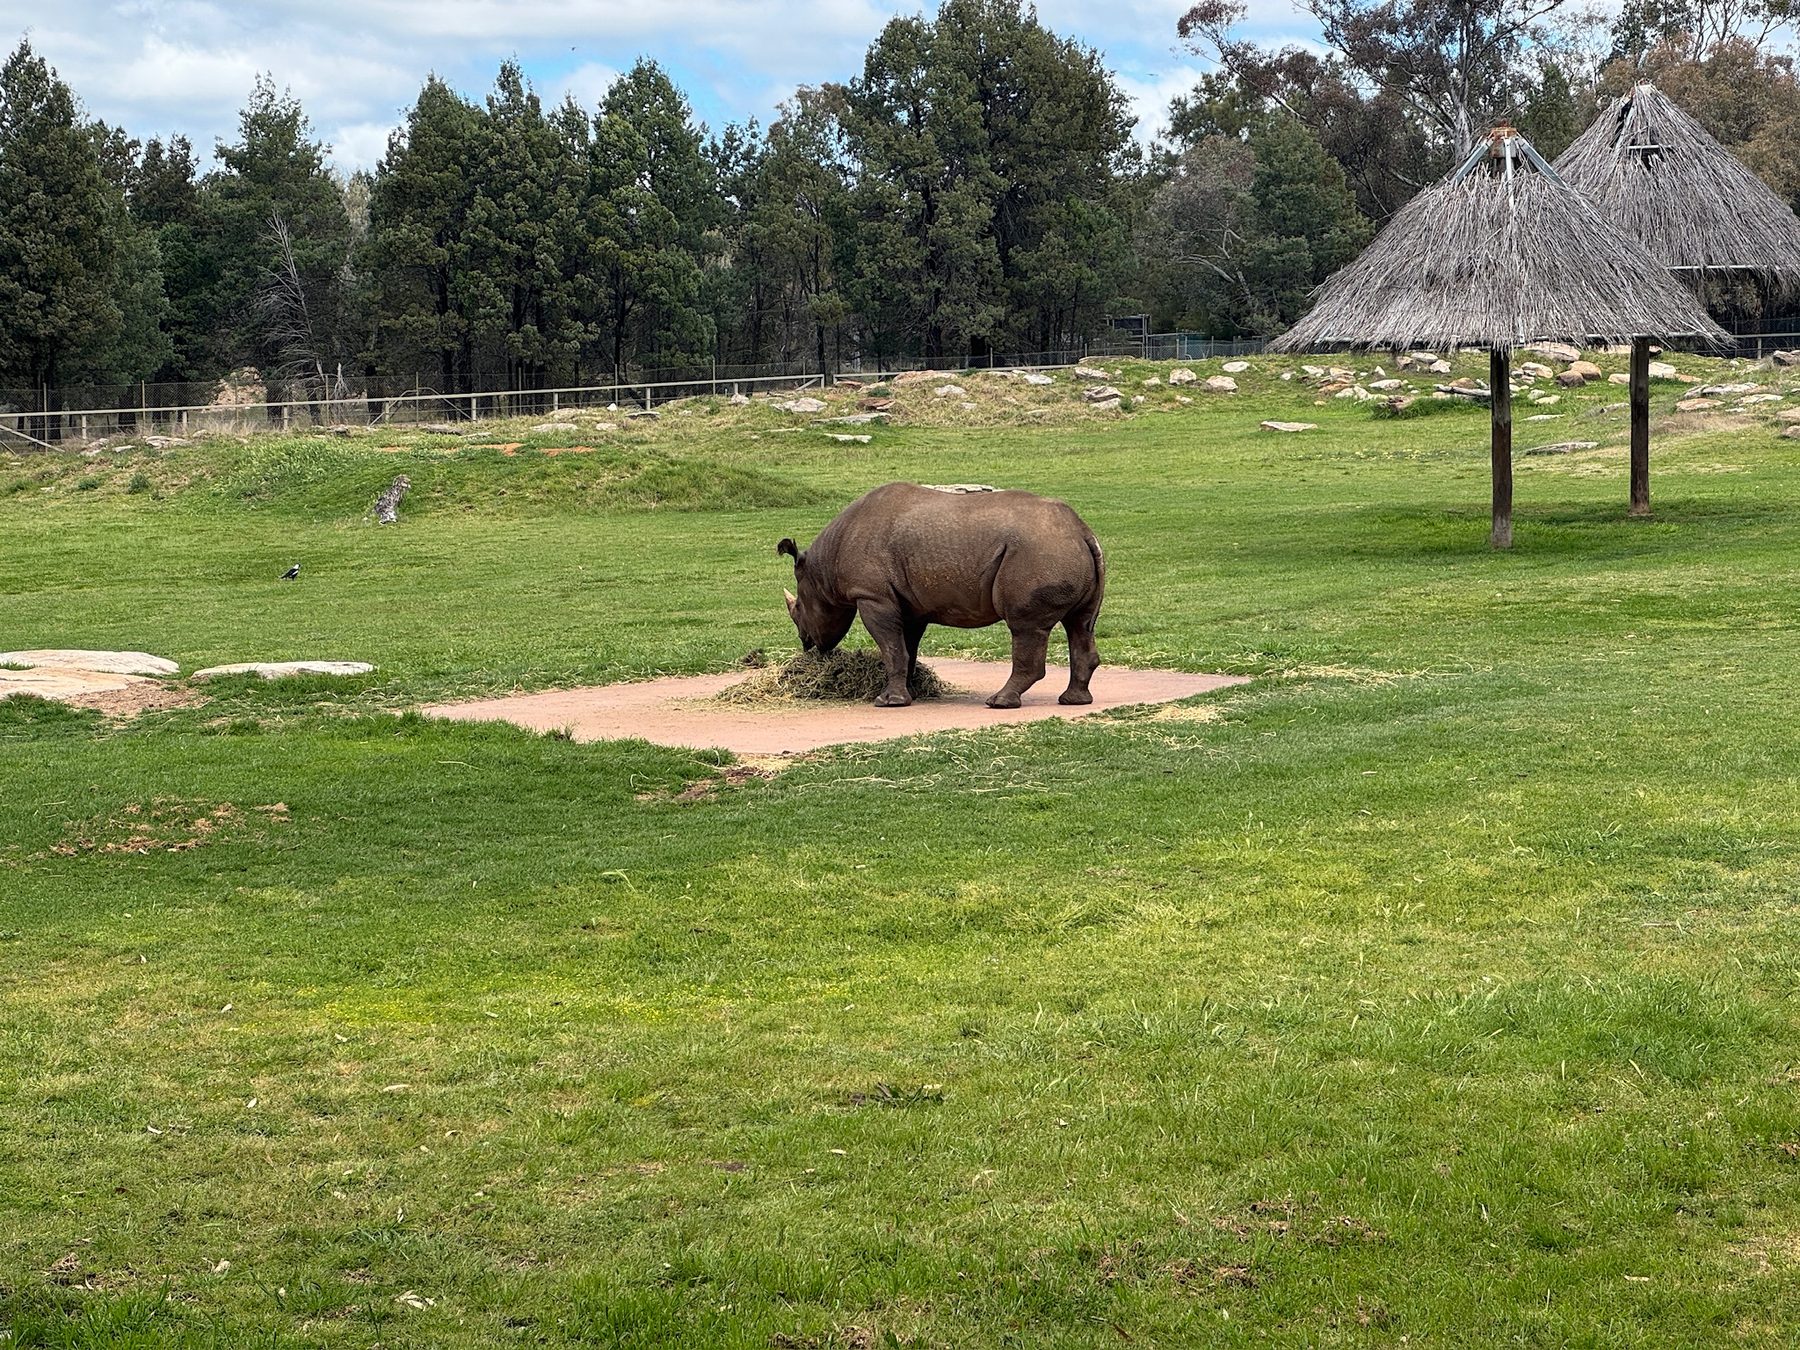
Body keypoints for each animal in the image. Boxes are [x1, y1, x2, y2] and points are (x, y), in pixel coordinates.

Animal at [777, 482, 1105, 708]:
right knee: (1080, 623)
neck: (823, 567)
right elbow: (905, 648)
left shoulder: (872, 596)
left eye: (798, 610)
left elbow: (890, 647)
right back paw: (1073, 701)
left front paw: (887, 702)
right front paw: (908, 693)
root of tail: (1082, 531)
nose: (806, 644)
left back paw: (998, 702)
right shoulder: (909, 605)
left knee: (1025, 626)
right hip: (1059, 551)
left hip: (1038, 553)